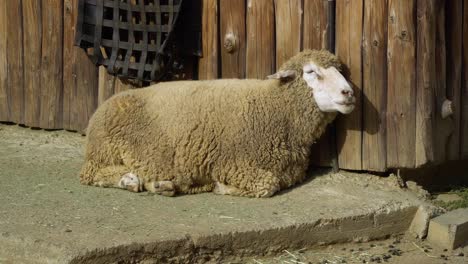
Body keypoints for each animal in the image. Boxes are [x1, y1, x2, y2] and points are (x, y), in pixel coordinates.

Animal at [80, 49, 354, 198]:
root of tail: (101, 108)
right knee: (90, 174)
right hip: (105, 150)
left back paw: (161, 185)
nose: (348, 93)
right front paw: (221, 187)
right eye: (311, 72)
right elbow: (267, 185)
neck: (276, 108)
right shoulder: (235, 164)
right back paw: (129, 180)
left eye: (340, 71)